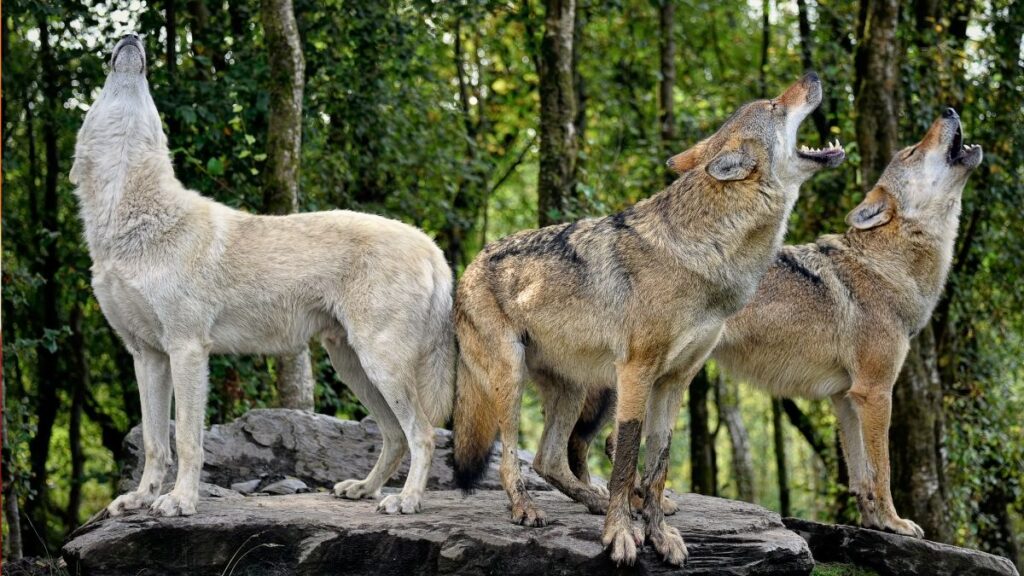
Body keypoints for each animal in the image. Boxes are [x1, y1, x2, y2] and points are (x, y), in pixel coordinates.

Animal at [70, 34, 455, 517]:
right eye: (101, 95)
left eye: (150, 98)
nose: (132, 37)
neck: (133, 223)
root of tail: (431, 246)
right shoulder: (146, 356)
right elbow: (157, 443)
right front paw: (141, 498)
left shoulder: (187, 350)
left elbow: (187, 441)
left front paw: (180, 501)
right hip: (353, 366)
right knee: (393, 435)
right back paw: (365, 489)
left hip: (379, 364)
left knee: (422, 433)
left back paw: (406, 501)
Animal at [452, 73, 844, 565]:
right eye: (774, 105)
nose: (813, 76)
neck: (708, 254)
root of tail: (467, 265)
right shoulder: (636, 372)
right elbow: (625, 460)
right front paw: (621, 532)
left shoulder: (676, 380)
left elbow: (658, 464)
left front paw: (658, 532)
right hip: (512, 378)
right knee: (510, 457)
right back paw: (526, 508)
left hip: (574, 389)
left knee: (548, 459)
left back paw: (592, 500)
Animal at [571, 109, 982, 539]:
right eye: (913, 151)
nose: (950, 111)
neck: (886, 267)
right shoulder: (875, 392)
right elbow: (881, 469)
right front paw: (894, 522)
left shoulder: (846, 398)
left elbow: (860, 474)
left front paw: (872, 521)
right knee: (613, 442)